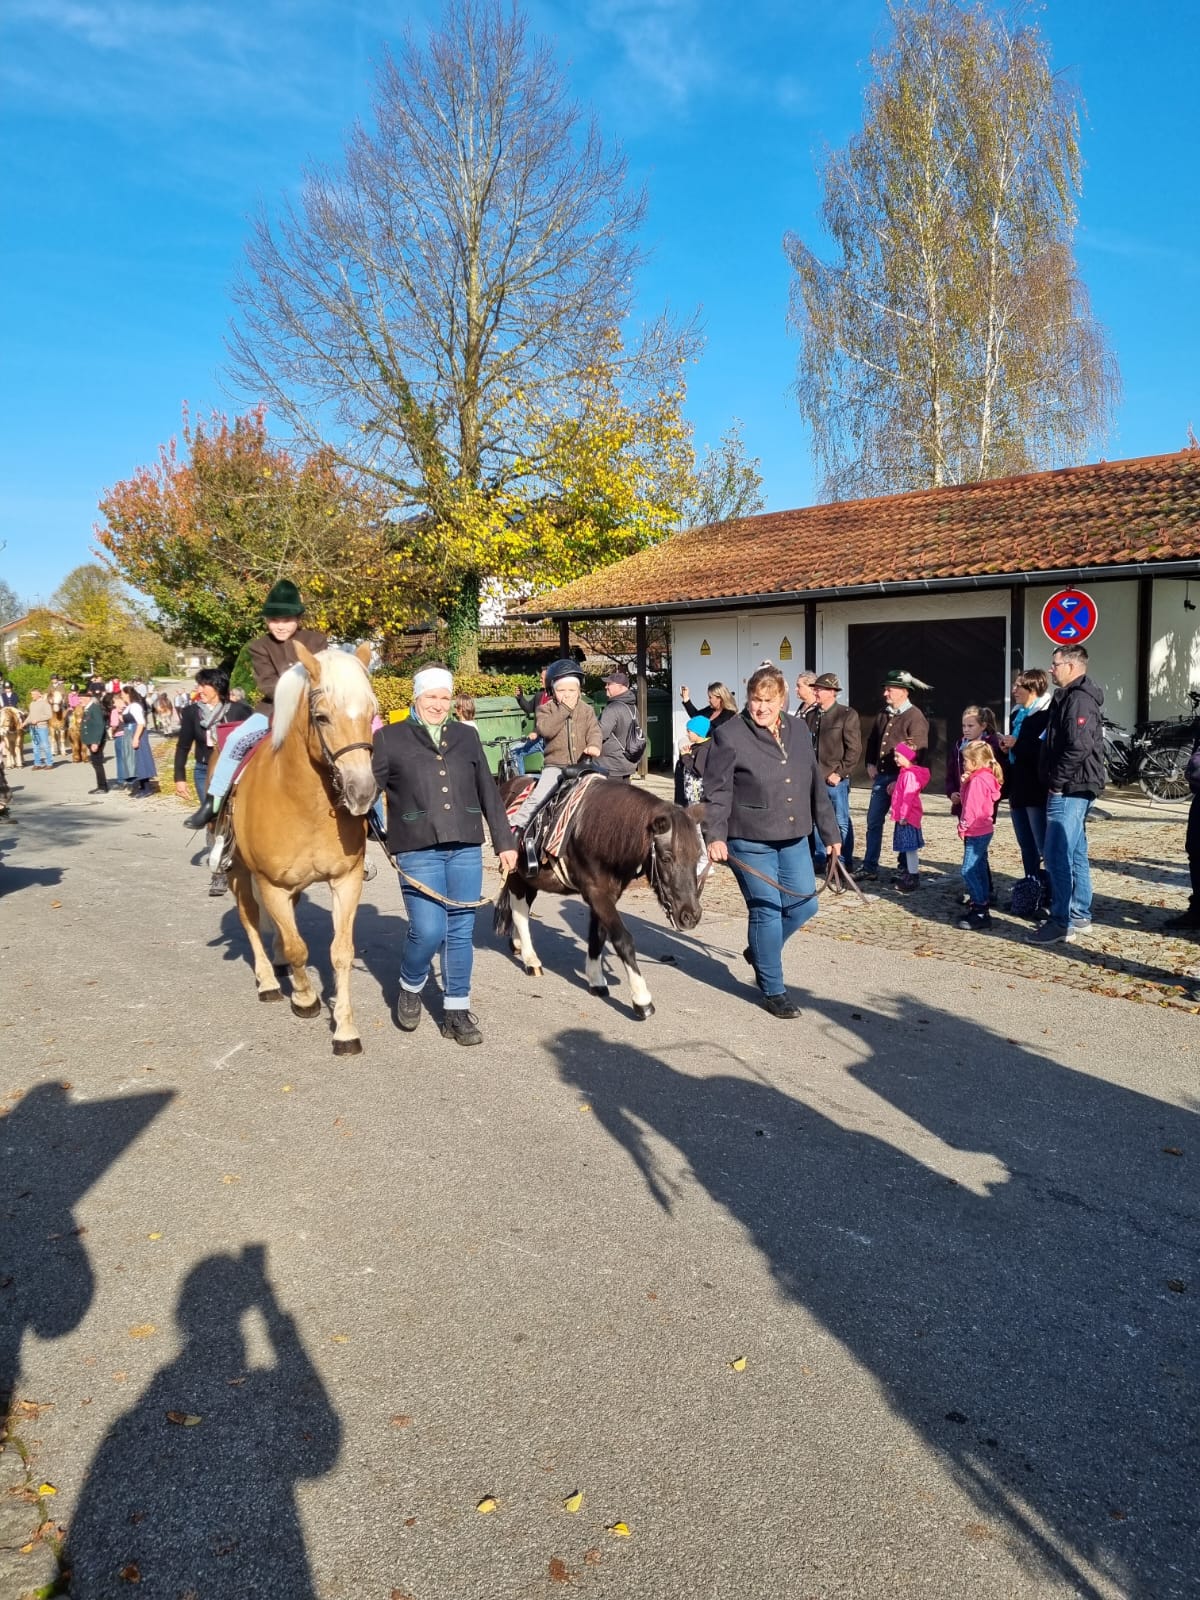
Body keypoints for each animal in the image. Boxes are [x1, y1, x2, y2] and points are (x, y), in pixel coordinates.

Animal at [225, 644, 377, 1055]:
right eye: (321, 717)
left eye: (371, 712)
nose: (362, 792)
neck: (303, 802)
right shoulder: (270, 884)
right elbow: (298, 948)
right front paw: (306, 998)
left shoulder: (346, 880)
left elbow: (341, 953)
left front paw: (345, 1029)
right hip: (240, 874)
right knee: (249, 919)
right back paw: (269, 980)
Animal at [494, 776, 707, 1019]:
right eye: (666, 858)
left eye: (698, 855)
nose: (690, 915)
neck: (592, 831)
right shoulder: (597, 894)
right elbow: (623, 939)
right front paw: (641, 998)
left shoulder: (606, 896)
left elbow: (597, 936)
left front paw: (596, 980)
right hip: (516, 875)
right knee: (519, 911)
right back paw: (531, 960)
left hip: (532, 880)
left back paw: (518, 943)